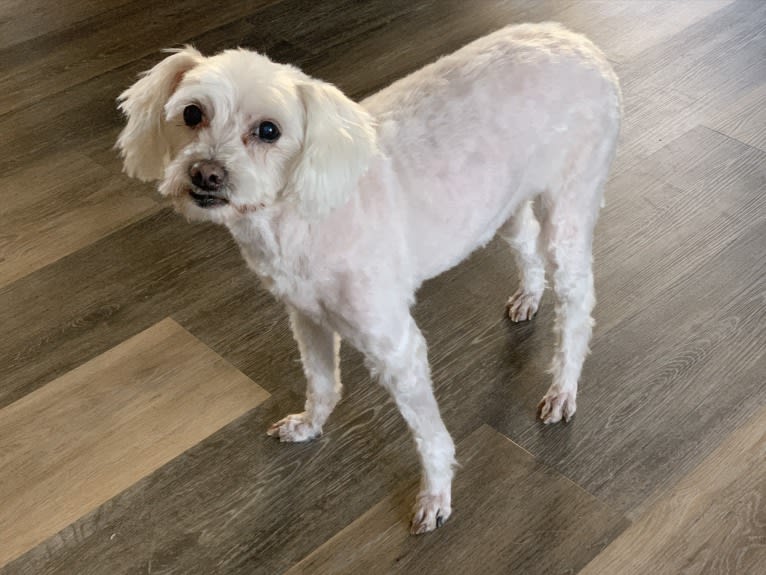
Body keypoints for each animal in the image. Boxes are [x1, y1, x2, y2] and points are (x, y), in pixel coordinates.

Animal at [117, 22, 620, 536]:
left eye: (269, 130)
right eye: (191, 113)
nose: (205, 174)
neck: (296, 216)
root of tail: (573, 37)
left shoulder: (396, 347)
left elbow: (430, 436)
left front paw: (436, 495)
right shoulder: (307, 318)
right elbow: (322, 383)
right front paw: (309, 425)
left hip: (570, 207)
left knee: (578, 305)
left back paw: (563, 388)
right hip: (502, 203)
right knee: (527, 242)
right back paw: (529, 297)